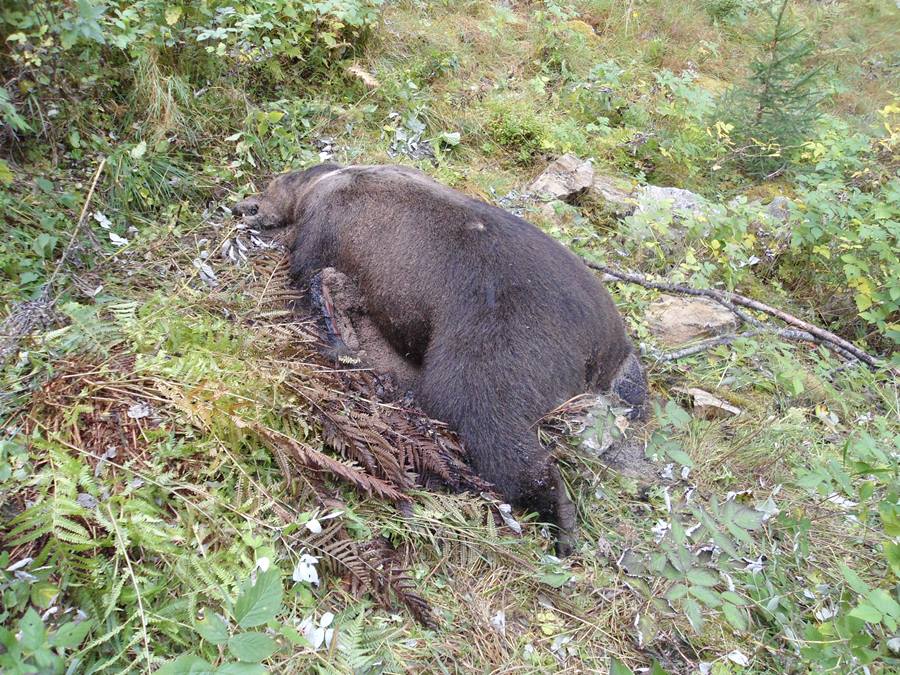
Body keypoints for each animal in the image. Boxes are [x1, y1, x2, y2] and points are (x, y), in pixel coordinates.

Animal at [234, 163, 647, 554]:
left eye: (267, 188)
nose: (245, 205)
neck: (331, 179)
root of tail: (604, 345)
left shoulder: (325, 223)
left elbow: (304, 263)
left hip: (504, 335)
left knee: (480, 414)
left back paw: (558, 516)